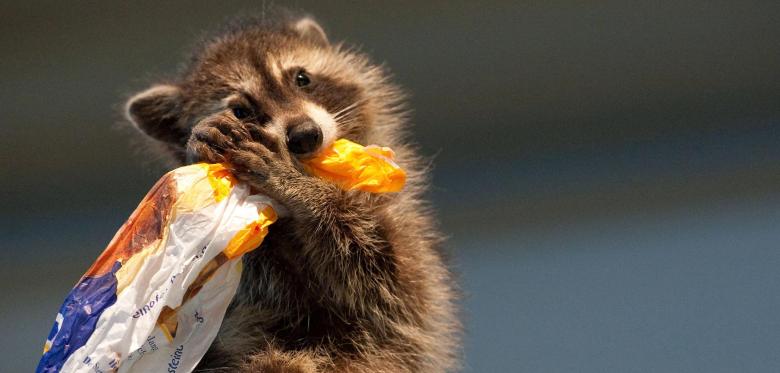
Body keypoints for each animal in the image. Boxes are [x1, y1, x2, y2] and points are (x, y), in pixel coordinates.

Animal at [123, 13, 458, 370]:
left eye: (302, 78)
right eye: (240, 110)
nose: (305, 135)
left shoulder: (406, 235)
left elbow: (387, 279)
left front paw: (298, 186)